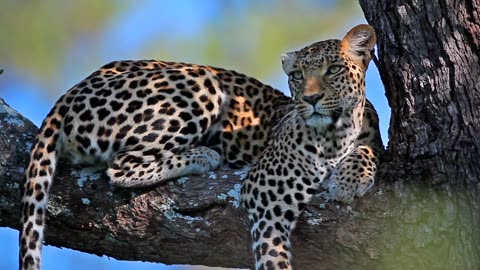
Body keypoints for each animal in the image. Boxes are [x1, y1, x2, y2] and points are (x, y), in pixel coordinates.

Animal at [240, 23, 382, 270]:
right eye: (297, 75)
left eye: (333, 69)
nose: (311, 98)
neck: (334, 138)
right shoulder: (262, 193)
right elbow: (272, 251)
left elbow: (368, 150)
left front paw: (348, 182)